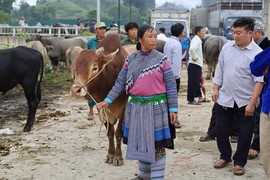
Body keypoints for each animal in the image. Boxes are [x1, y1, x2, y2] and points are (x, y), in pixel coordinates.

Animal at [70, 34, 127, 166]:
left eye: (94, 68)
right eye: (76, 68)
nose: (75, 90)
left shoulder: (124, 108)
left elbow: (118, 133)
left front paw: (118, 157)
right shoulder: (101, 108)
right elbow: (110, 133)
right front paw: (110, 155)